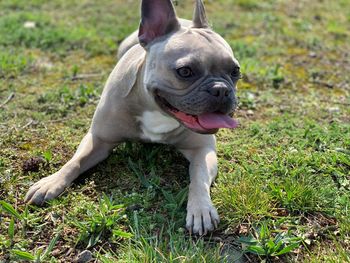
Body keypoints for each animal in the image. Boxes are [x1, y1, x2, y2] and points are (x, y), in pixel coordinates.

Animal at [25, 0, 241, 235]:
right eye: (185, 71)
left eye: (235, 71)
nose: (221, 89)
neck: (155, 110)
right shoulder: (98, 140)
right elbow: (75, 162)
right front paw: (51, 182)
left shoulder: (202, 149)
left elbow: (199, 176)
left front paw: (201, 208)